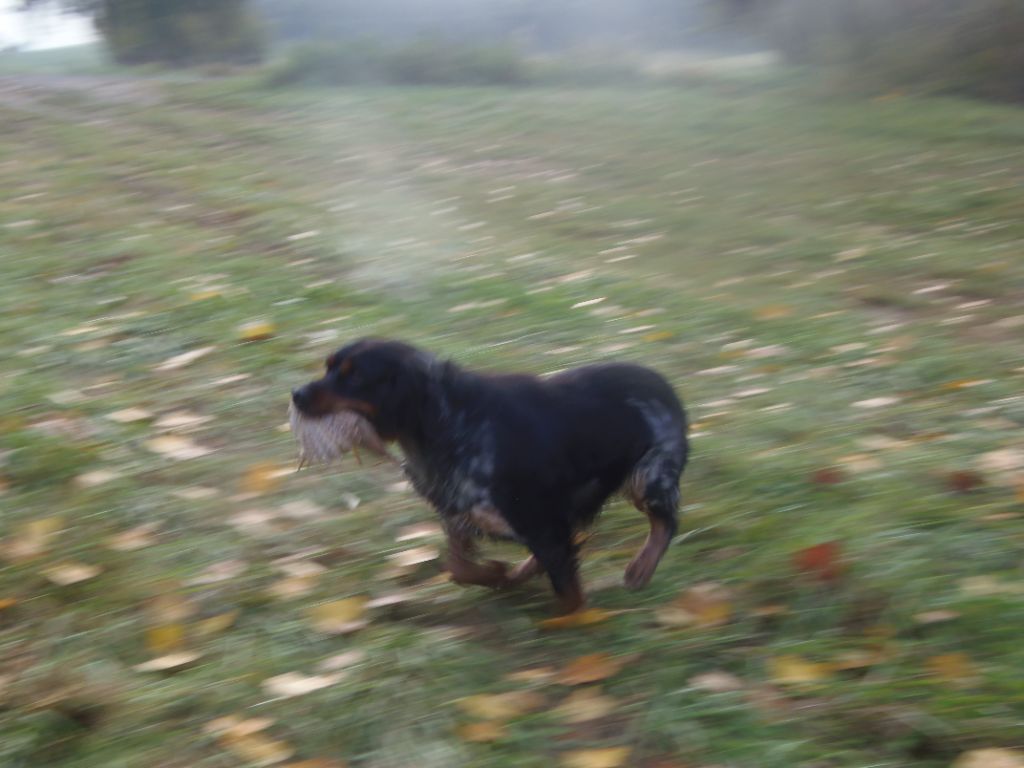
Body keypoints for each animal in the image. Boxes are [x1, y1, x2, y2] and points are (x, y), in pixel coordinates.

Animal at [291, 338, 689, 614]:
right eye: (328, 368)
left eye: (355, 376)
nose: (296, 394)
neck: (446, 421)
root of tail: (666, 386)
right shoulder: (461, 513)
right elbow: (459, 567)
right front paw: (499, 574)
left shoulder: (538, 518)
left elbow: (569, 596)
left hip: (649, 478)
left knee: (665, 523)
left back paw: (640, 568)